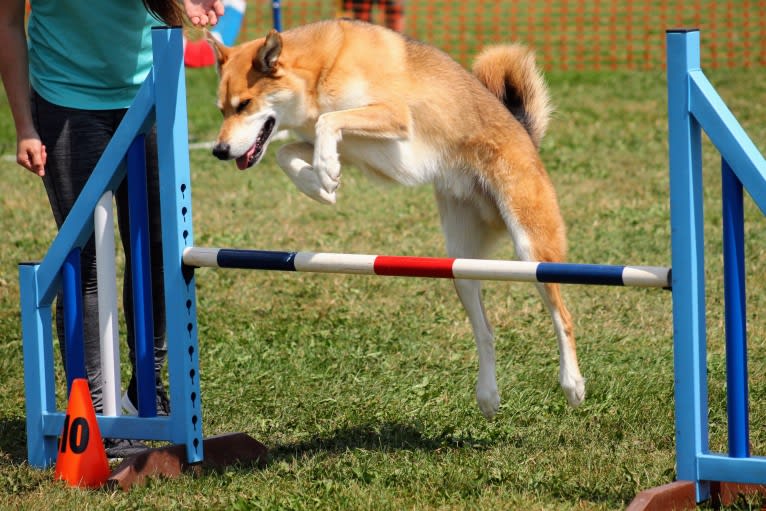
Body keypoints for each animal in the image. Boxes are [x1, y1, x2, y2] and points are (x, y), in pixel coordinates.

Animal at [207, 20, 584, 420]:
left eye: (244, 104)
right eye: (221, 110)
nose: (218, 151)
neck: (321, 70)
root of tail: (525, 134)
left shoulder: (392, 115)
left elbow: (326, 121)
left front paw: (324, 170)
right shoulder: (342, 145)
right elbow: (286, 152)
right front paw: (321, 185)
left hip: (531, 249)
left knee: (563, 317)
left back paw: (572, 384)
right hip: (462, 265)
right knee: (486, 332)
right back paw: (487, 395)